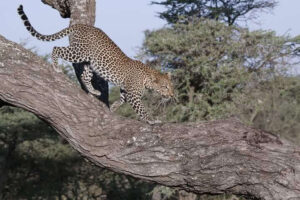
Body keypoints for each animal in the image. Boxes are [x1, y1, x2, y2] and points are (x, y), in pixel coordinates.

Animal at [17, 4, 175, 123]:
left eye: (170, 86)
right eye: (165, 87)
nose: (172, 95)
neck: (147, 78)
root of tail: (80, 25)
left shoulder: (126, 90)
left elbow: (121, 99)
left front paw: (113, 107)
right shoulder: (133, 95)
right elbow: (141, 110)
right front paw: (152, 120)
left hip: (90, 63)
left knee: (84, 76)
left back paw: (93, 91)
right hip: (79, 53)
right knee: (56, 49)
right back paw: (56, 67)